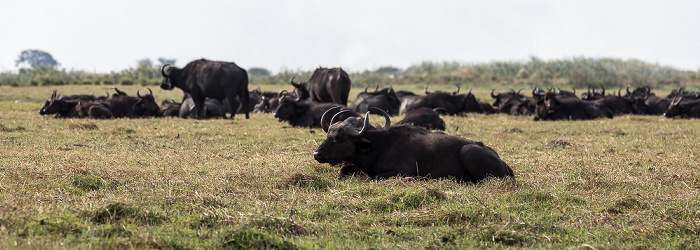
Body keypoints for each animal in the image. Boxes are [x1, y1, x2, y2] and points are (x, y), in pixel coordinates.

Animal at [314, 108, 516, 183]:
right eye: (328, 134)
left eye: (340, 137)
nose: (317, 154)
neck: (379, 147)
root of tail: (501, 161)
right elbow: (344, 170)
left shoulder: (403, 172)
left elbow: (375, 177)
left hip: (469, 151)